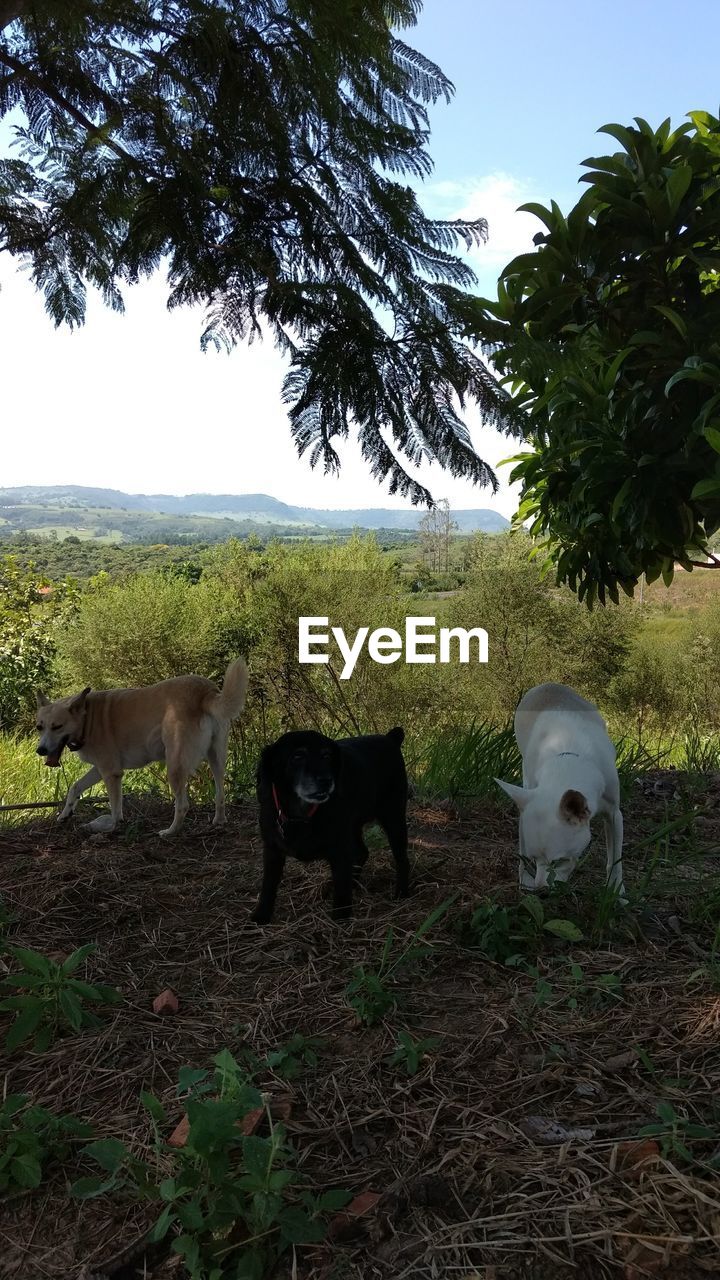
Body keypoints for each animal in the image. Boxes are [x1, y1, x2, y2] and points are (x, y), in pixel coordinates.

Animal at [35, 660, 248, 839]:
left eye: (57, 727)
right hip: (216, 758)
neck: (87, 718)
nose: (41, 750)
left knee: (183, 805)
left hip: (175, 765)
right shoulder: (101, 769)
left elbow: (115, 810)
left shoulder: (111, 773)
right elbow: (75, 787)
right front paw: (65, 813)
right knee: (220, 793)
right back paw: (218, 821)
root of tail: (204, 692)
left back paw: (170, 831)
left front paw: (109, 827)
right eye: (39, 727)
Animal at [251, 727, 409, 926]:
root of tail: (390, 738)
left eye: (327, 755)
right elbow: (268, 885)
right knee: (362, 852)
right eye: (297, 756)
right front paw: (261, 915)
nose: (326, 780)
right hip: (353, 826)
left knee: (401, 858)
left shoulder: (340, 850)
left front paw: (341, 919)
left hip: (393, 818)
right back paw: (354, 882)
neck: (302, 815)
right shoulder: (272, 850)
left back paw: (402, 892)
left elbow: (341, 888)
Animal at [491, 686, 622, 896]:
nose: (541, 892)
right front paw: (525, 880)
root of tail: (547, 684)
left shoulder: (614, 814)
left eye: (560, 861)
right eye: (534, 859)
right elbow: (522, 853)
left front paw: (616, 894)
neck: (569, 760)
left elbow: (615, 860)